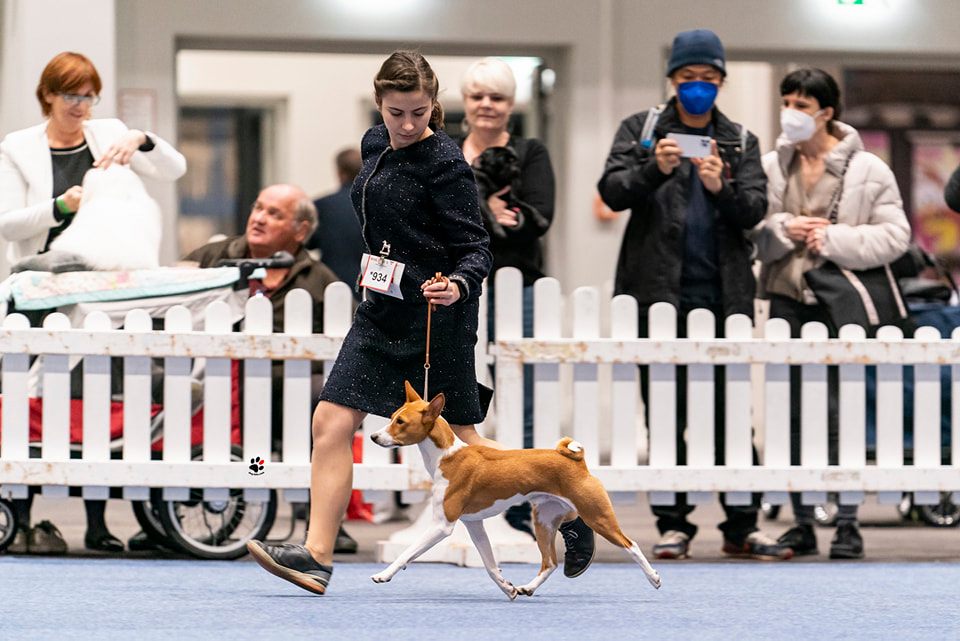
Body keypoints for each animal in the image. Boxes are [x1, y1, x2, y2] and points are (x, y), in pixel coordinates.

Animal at [369, 381, 662, 600]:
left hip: (597, 516)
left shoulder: (443, 525)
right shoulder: (474, 524)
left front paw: (384, 574)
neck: (447, 457)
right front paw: (507, 588)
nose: (373, 437)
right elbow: (490, 564)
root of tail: (578, 461)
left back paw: (654, 578)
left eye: (401, 422)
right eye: (391, 418)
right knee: (550, 562)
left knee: (631, 545)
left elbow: (407, 552)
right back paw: (528, 588)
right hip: (544, 519)